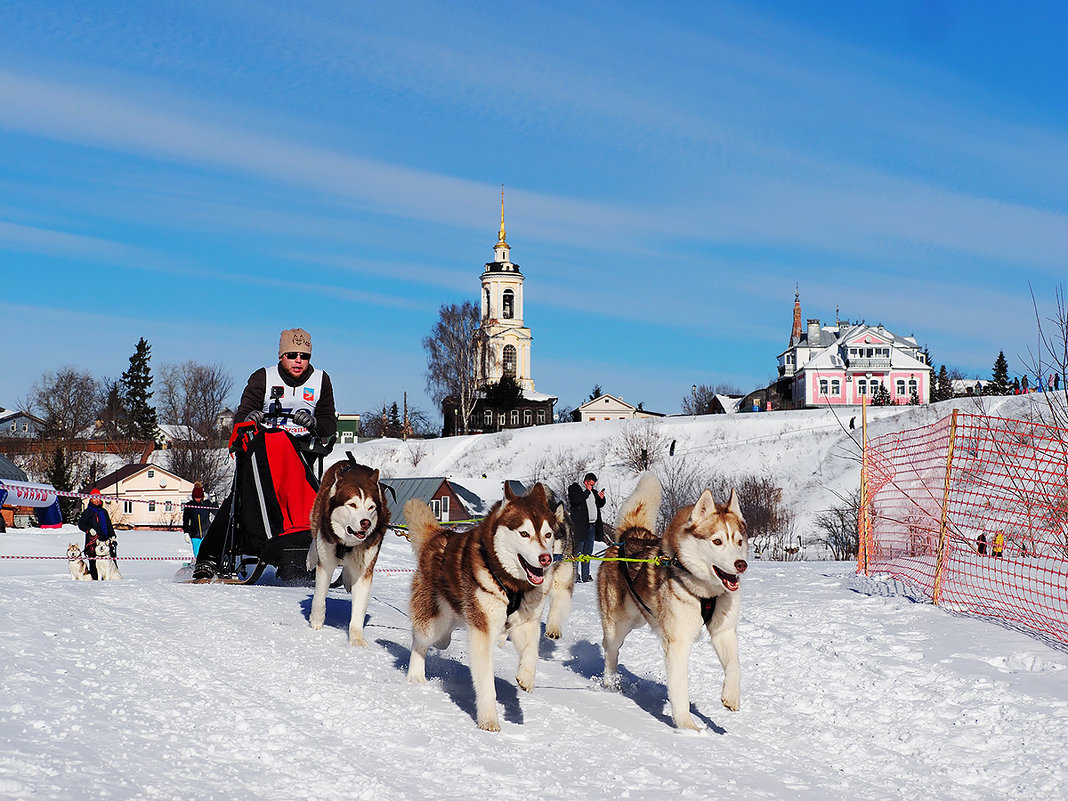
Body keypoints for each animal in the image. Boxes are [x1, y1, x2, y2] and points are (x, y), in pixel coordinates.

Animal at [305, 457, 393, 645]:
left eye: (371, 507)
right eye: (352, 504)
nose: (366, 522)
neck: (346, 544)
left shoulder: (365, 570)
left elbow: (359, 609)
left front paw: (357, 641)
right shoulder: (326, 563)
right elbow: (319, 596)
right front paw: (316, 622)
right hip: (316, 514)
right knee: (314, 537)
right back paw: (311, 557)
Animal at [403, 482, 563, 734]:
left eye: (548, 535)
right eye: (524, 533)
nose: (545, 558)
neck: (511, 584)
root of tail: (438, 536)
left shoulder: (526, 622)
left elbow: (532, 651)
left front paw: (526, 676)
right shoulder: (483, 632)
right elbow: (486, 682)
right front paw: (489, 718)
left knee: (443, 638)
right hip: (433, 620)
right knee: (420, 642)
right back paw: (416, 675)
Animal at [598, 476, 747, 734]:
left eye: (739, 541)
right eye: (717, 541)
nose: (741, 564)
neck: (706, 593)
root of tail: (629, 537)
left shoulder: (724, 631)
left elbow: (734, 666)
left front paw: (731, 696)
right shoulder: (678, 643)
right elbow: (680, 688)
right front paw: (687, 726)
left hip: (639, 618)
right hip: (619, 625)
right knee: (610, 650)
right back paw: (610, 684)